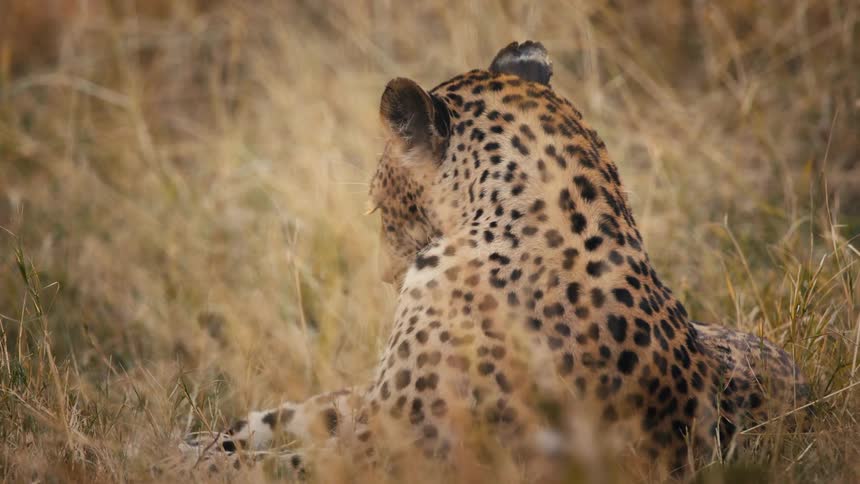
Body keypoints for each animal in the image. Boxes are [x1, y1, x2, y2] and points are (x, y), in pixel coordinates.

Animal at [173, 41, 810, 480]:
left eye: (379, 203)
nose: (384, 275)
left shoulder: (392, 446)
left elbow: (278, 465)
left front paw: (192, 466)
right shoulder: (375, 415)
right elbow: (273, 433)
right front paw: (191, 451)